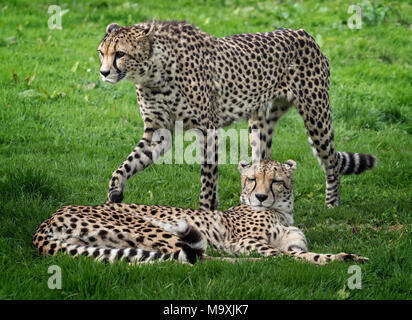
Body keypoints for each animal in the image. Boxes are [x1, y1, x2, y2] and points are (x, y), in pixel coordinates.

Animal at [33, 159, 368, 264]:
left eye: (275, 181)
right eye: (252, 179)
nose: (260, 197)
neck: (281, 211)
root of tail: (48, 218)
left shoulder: (295, 243)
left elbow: (308, 254)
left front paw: (348, 257)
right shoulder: (243, 242)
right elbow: (282, 255)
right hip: (150, 228)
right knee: (201, 259)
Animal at [97, 20, 376, 210]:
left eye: (120, 54)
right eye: (102, 52)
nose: (103, 72)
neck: (153, 74)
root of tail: (303, 33)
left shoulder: (208, 131)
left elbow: (208, 181)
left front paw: (206, 213)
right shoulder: (159, 133)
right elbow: (126, 165)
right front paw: (114, 195)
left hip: (316, 114)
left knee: (331, 161)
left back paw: (332, 204)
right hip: (261, 123)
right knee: (262, 164)